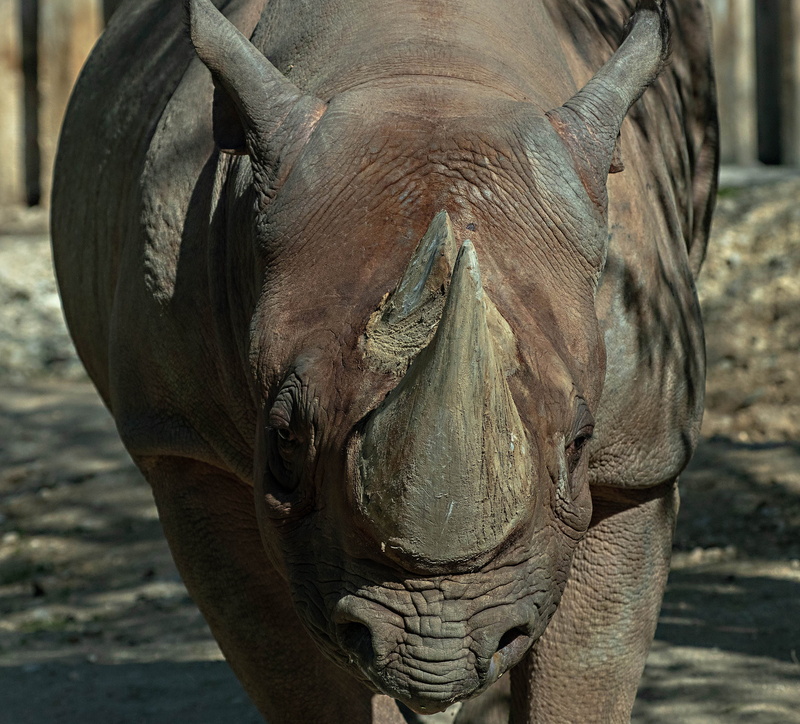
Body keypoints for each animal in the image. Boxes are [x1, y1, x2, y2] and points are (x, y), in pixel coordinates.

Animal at [51, 0, 718, 721]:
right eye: (282, 438)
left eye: (580, 443)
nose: (434, 647)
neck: (423, 69)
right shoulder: (183, 442)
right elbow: (304, 677)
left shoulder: (641, 458)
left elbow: (587, 668)